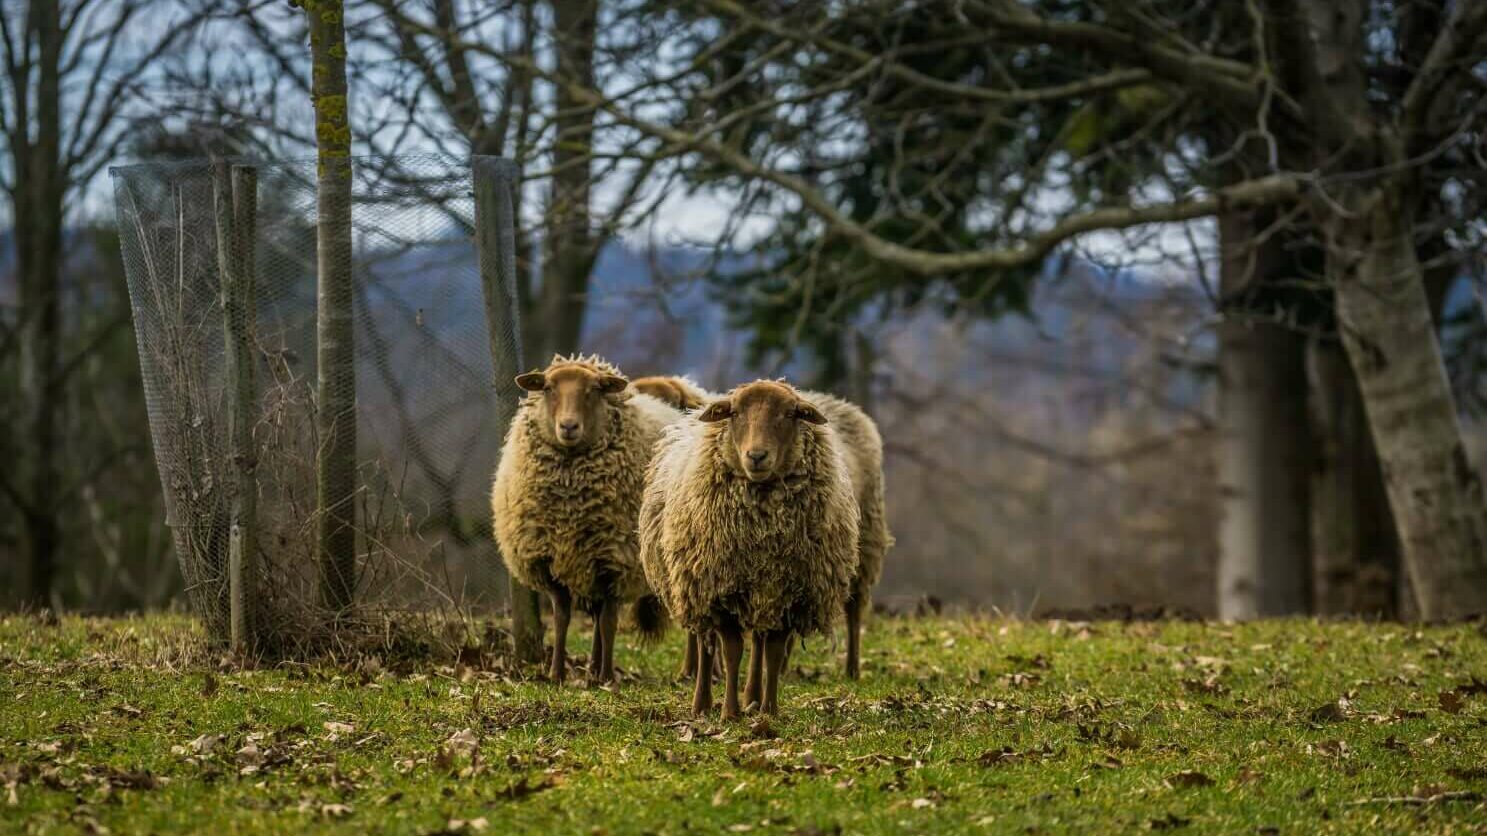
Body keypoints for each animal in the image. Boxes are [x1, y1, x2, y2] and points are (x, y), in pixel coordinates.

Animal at [491, 353, 682, 684]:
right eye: (548, 388)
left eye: (594, 389)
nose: (568, 426)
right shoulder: (550, 560)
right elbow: (562, 617)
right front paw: (556, 674)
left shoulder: (617, 560)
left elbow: (608, 622)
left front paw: (607, 677)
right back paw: (591, 669)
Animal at [639, 379, 859, 718]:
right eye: (735, 413)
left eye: (790, 413)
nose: (756, 456)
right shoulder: (721, 591)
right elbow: (732, 652)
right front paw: (730, 712)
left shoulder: (789, 593)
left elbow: (773, 653)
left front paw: (769, 710)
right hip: (696, 586)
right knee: (705, 645)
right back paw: (702, 705)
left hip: (760, 592)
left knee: (758, 642)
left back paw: (753, 698)